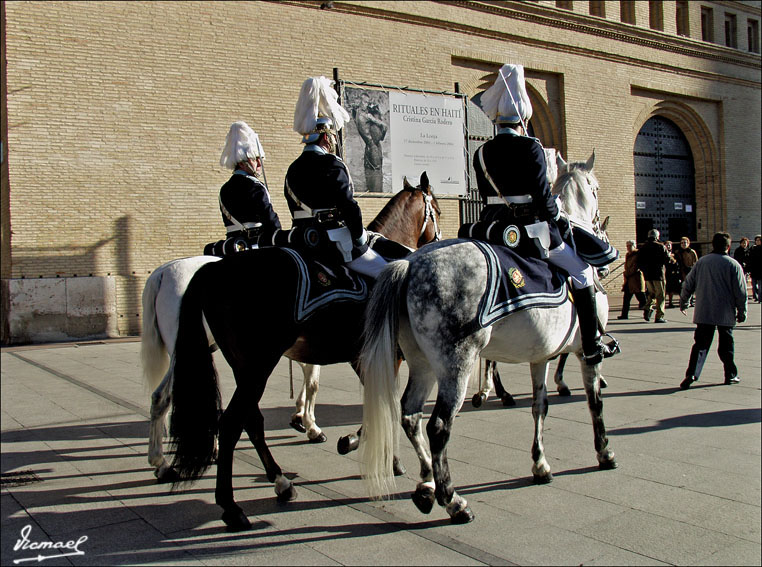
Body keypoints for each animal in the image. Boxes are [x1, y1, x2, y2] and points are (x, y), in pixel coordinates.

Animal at [360, 151, 616, 524]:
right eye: (595, 188)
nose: (598, 223)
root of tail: (410, 265)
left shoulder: (539, 356)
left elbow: (540, 406)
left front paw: (540, 464)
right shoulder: (586, 351)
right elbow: (595, 402)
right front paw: (604, 452)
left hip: (422, 364)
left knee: (410, 414)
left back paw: (426, 486)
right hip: (456, 365)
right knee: (438, 426)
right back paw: (453, 500)